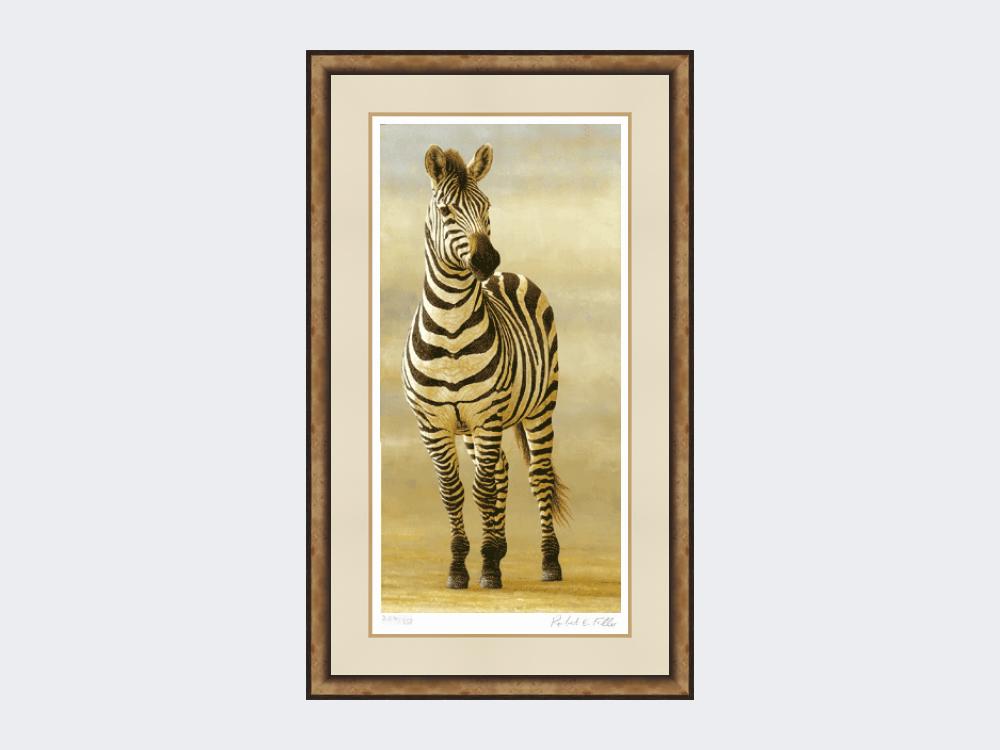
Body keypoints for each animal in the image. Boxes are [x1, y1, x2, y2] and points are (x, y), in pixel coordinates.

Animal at [401, 143, 570, 590]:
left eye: (487, 206)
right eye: (445, 211)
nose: (486, 259)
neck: (451, 329)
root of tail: (507, 276)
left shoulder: (488, 415)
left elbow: (482, 490)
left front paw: (488, 567)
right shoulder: (433, 424)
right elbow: (453, 492)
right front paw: (461, 566)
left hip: (540, 406)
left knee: (537, 476)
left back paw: (549, 561)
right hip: (473, 428)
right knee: (504, 472)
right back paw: (500, 546)